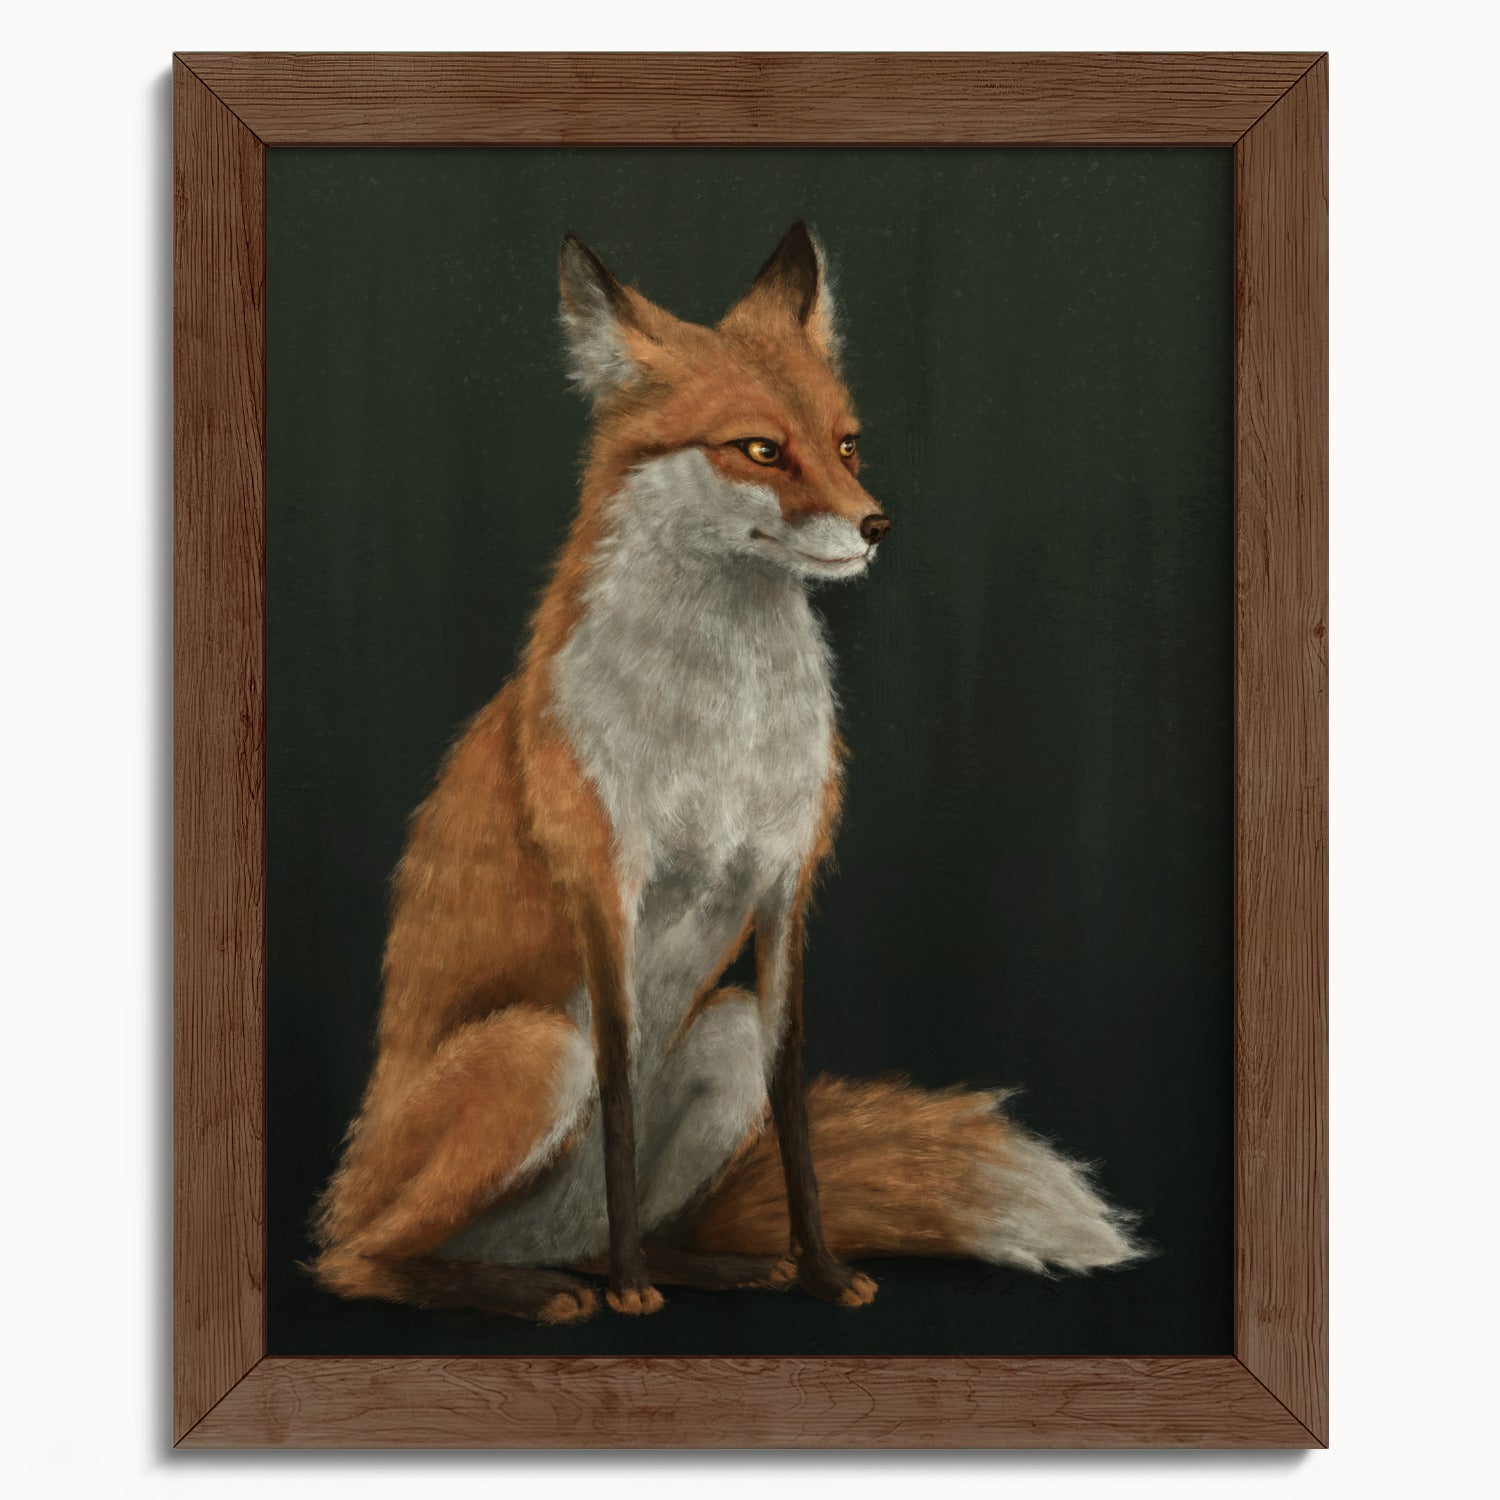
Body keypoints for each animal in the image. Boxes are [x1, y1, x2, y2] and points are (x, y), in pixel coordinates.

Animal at [310, 223, 1142, 1323]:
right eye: (759, 449)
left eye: (847, 443)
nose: (877, 526)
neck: (725, 730)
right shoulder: (606, 888)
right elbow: (620, 1098)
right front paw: (634, 1294)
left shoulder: (787, 885)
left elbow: (794, 1111)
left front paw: (821, 1272)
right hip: (536, 1051)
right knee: (360, 1260)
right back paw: (545, 1290)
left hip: (722, 1032)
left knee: (601, 1228)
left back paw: (703, 1266)